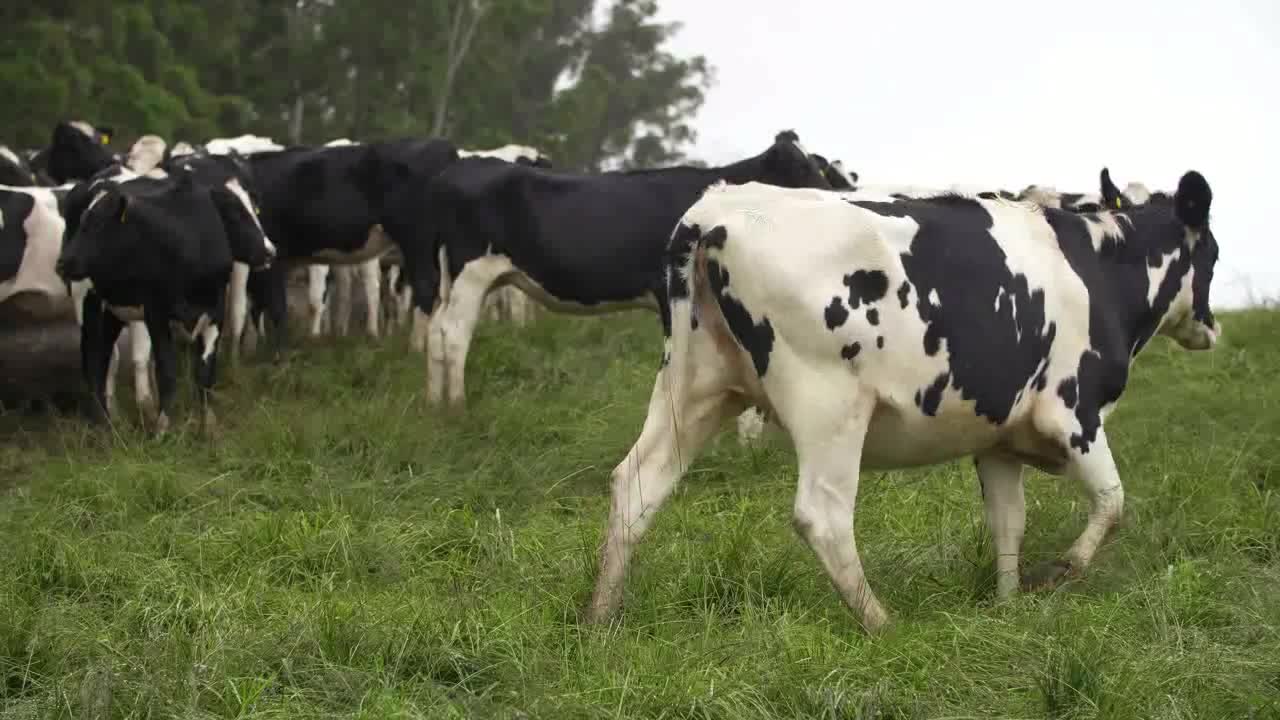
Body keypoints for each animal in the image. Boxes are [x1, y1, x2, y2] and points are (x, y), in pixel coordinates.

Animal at [56, 167, 276, 430]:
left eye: (254, 210)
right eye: (235, 212)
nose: (270, 251)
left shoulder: (215, 312)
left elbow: (205, 372)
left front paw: (207, 426)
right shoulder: (156, 314)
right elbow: (167, 370)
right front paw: (163, 426)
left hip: (113, 310)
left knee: (104, 357)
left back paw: (112, 419)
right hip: (86, 300)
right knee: (91, 358)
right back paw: (102, 422)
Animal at [409, 130, 829, 409]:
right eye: (802, 167)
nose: (831, 194)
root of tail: (455, 171)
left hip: (452, 277)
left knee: (435, 329)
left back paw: (434, 404)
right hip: (470, 273)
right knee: (453, 334)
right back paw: (458, 406)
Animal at [588, 170, 1218, 630]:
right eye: (1211, 255)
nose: (1209, 328)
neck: (1099, 268)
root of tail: (717, 209)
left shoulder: (997, 438)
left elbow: (1008, 523)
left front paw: (1008, 606)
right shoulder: (1073, 413)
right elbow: (1113, 503)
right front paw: (1060, 572)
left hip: (694, 387)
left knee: (637, 484)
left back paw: (601, 620)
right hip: (828, 404)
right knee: (822, 514)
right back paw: (880, 624)